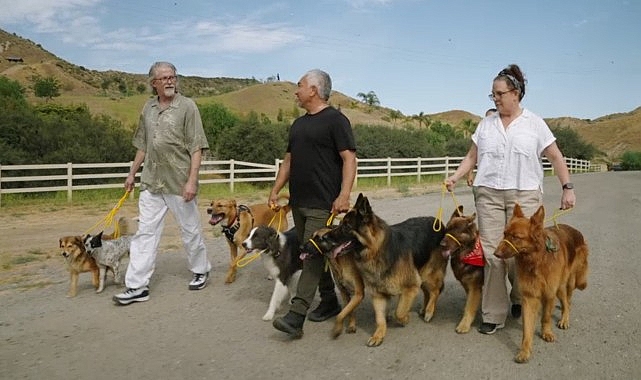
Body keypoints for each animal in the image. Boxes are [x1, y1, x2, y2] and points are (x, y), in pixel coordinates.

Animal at [332, 194, 442, 346]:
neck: (376, 250)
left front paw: (405, 319)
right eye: (340, 224)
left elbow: (399, 312)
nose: (326, 236)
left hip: (428, 274)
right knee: (427, 292)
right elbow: (380, 319)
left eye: (346, 226)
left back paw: (430, 311)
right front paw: (378, 335)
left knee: (435, 291)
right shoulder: (378, 294)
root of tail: (439, 223)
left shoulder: (411, 286)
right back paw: (424, 309)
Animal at [440, 206, 484, 334]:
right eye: (447, 230)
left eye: (456, 232)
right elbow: (469, 304)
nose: (441, 244)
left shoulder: (474, 286)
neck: (469, 252)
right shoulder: (467, 285)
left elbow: (469, 306)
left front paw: (464, 325)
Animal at [492, 203, 588, 364]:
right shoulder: (529, 298)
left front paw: (546, 332)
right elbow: (527, 329)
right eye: (504, 234)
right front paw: (525, 350)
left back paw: (564, 319)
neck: (536, 260)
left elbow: (546, 317)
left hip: (561, 286)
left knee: (566, 302)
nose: (495, 254)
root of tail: (576, 231)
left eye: (515, 237)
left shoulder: (549, 293)